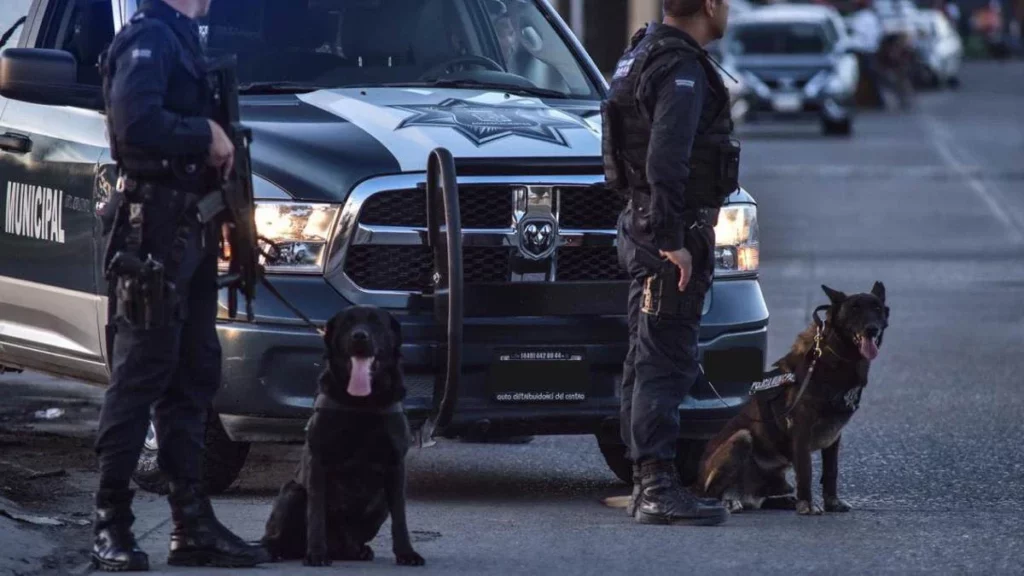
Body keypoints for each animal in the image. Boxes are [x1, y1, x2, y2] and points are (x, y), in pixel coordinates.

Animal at [264, 305, 428, 565]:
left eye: (376, 322)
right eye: (347, 323)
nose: (359, 336)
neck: (362, 403)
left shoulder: (396, 465)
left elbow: (400, 518)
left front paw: (406, 553)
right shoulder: (318, 461)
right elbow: (316, 514)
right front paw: (316, 554)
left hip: (380, 504)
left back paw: (357, 551)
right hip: (292, 492)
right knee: (276, 535)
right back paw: (276, 550)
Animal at [696, 280, 888, 512]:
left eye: (877, 308)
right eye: (854, 309)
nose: (872, 329)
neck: (836, 355)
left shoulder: (834, 435)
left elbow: (831, 471)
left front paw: (831, 502)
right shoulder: (801, 429)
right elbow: (806, 470)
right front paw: (807, 505)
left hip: (776, 479)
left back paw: (782, 501)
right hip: (741, 437)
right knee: (711, 493)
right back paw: (729, 501)